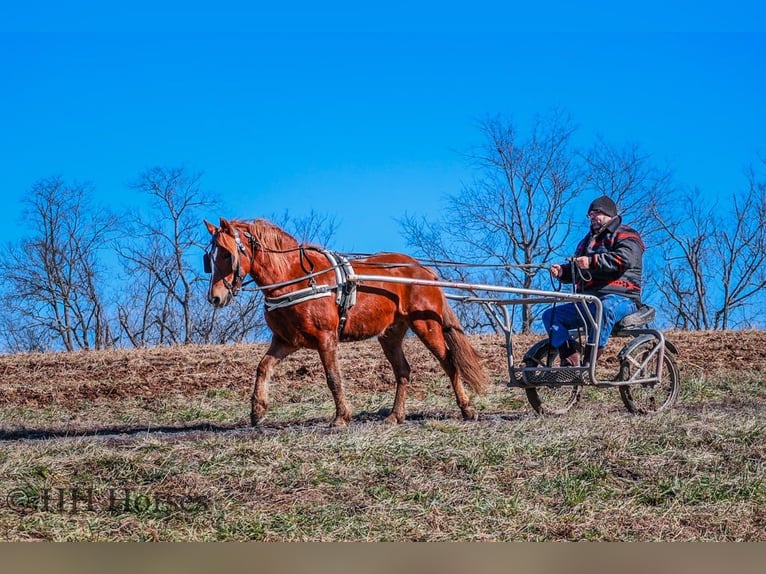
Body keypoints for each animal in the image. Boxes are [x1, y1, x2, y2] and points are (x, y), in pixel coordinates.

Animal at [203, 217, 489, 427]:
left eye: (227, 254)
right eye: (210, 258)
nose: (215, 297)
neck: (296, 279)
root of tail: (424, 270)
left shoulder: (326, 338)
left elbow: (333, 377)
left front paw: (341, 417)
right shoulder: (286, 341)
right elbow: (263, 367)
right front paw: (257, 411)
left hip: (426, 326)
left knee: (449, 362)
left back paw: (467, 409)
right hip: (391, 334)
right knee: (403, 371)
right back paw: (395, 416)